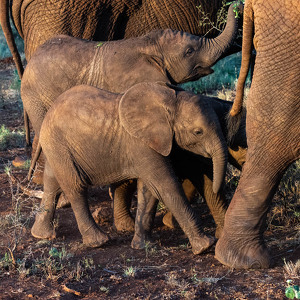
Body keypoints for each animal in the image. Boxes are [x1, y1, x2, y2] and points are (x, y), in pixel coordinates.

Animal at [28, 82, 230, 255]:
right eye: (198, 132)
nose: (217, 187)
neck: (169, 101)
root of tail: (48, 113)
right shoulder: (141, 144)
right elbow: (165, 186)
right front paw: (205, 246)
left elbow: (150, 190)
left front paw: (144, 246)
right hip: (61, 146)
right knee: (75, 187)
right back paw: (99, 241)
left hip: (57, 148)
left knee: (52, 183)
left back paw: (41, 234)